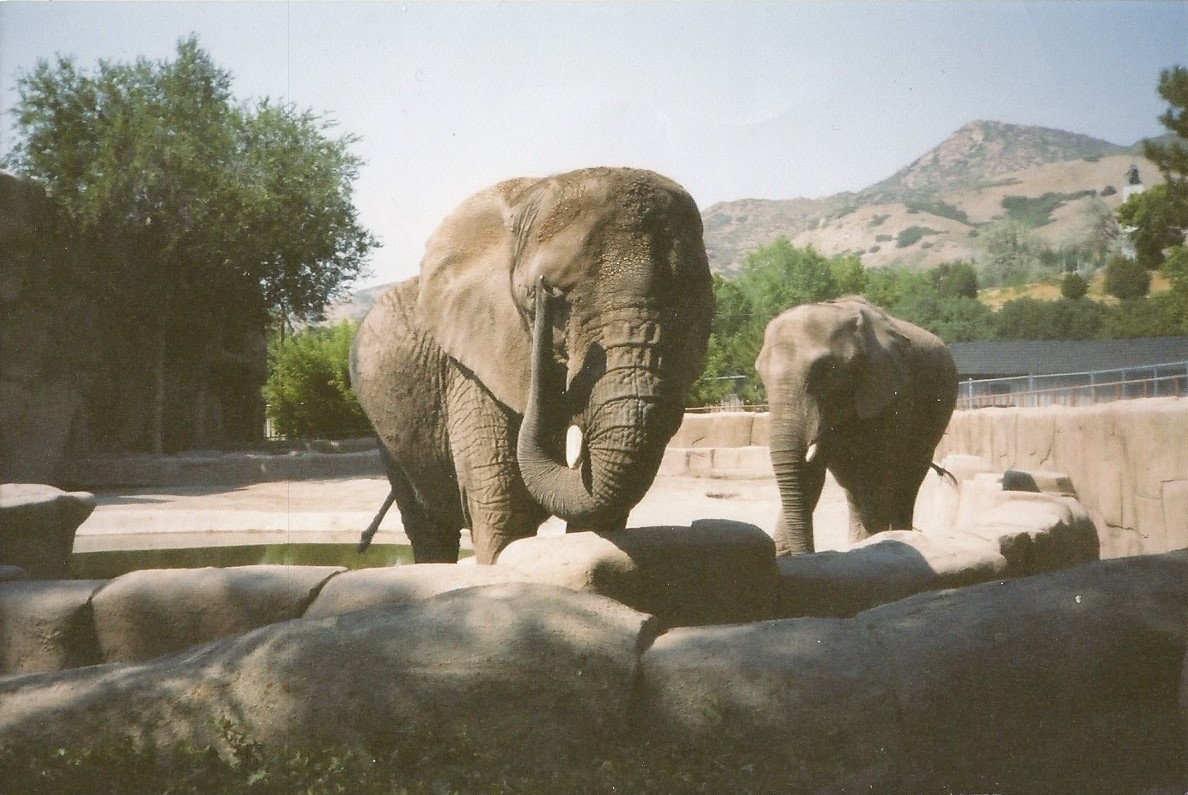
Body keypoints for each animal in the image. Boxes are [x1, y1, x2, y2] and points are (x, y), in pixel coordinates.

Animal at [350, 167, 714, 564]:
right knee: (429, 529)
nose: (544, 294)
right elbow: (507, 514)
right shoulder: (471, 365)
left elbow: (599, 519)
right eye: (553, 297)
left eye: (691, 299)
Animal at [755, 297, 958, 556]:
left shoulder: (893, 392)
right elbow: (809, 476)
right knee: (854, 486)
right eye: (760, 373)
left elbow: (877, 472)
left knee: (906, 478)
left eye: (822, 370)